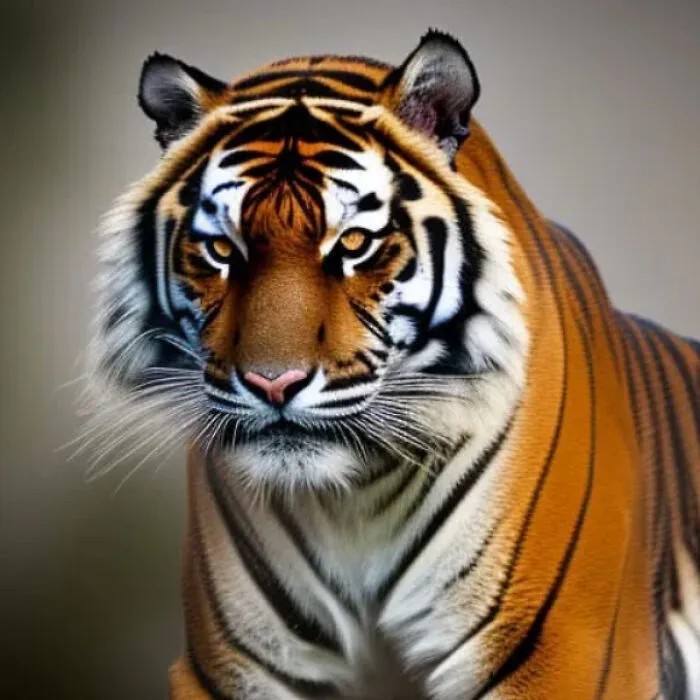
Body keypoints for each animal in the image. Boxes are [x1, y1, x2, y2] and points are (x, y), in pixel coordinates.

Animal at [87, 30, 700, 699]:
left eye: (354, 243)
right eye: (222, 249)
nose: (273, 384)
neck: (355, 497)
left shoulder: (567, 660)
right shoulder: (229, 668)